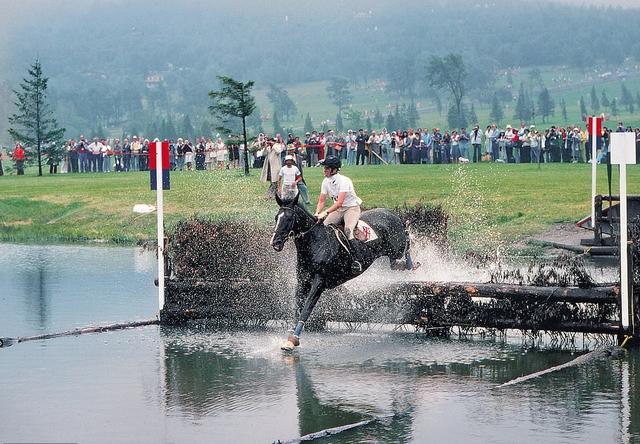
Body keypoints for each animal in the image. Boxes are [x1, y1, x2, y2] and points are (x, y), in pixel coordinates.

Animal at [272, 191, 416, 350]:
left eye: (289, 218)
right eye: (276, 217)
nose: (275, 243)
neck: (315, 244)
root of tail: (393, 214)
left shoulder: (319, 283)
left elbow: (306, 310)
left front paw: (293, 340)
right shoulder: (302, 282)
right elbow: (297, 309)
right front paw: (289, 338)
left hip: (395, 250)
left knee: (405, 249)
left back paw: (412, 253)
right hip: (391, 255)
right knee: (397, 262)